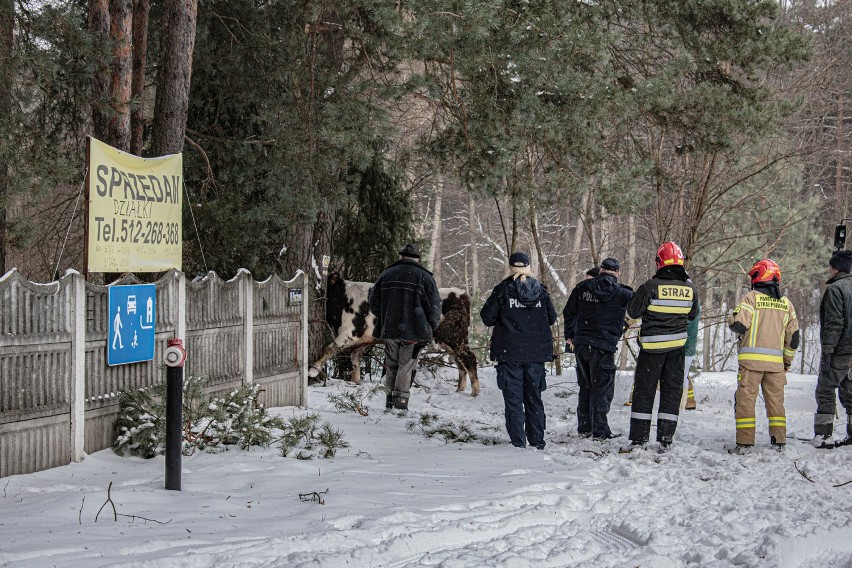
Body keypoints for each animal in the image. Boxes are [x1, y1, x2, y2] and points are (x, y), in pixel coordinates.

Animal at [310, 272, 480, 398]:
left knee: (469, 358)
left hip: (453, 336)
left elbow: (329, 349)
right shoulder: (361, 340)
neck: (342, 299)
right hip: (447, 341)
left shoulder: (348, 333)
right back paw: (460, 389)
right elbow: (355, 360)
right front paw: (355, 382)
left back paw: (475, 392)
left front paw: (312, 370)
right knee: (459, 362)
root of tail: (460, 294)